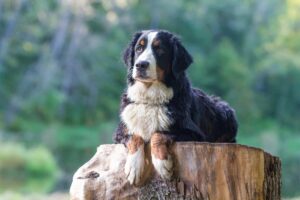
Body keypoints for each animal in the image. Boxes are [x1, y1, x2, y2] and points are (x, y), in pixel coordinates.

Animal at [113, 29, 238, 186]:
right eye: (139, 48)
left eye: (160, 49)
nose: (141, 65)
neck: (151, 99)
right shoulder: (121, 131)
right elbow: (135, 137)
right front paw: (134, 167)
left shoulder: (193, 134)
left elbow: (158, 134)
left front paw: (162, 164)